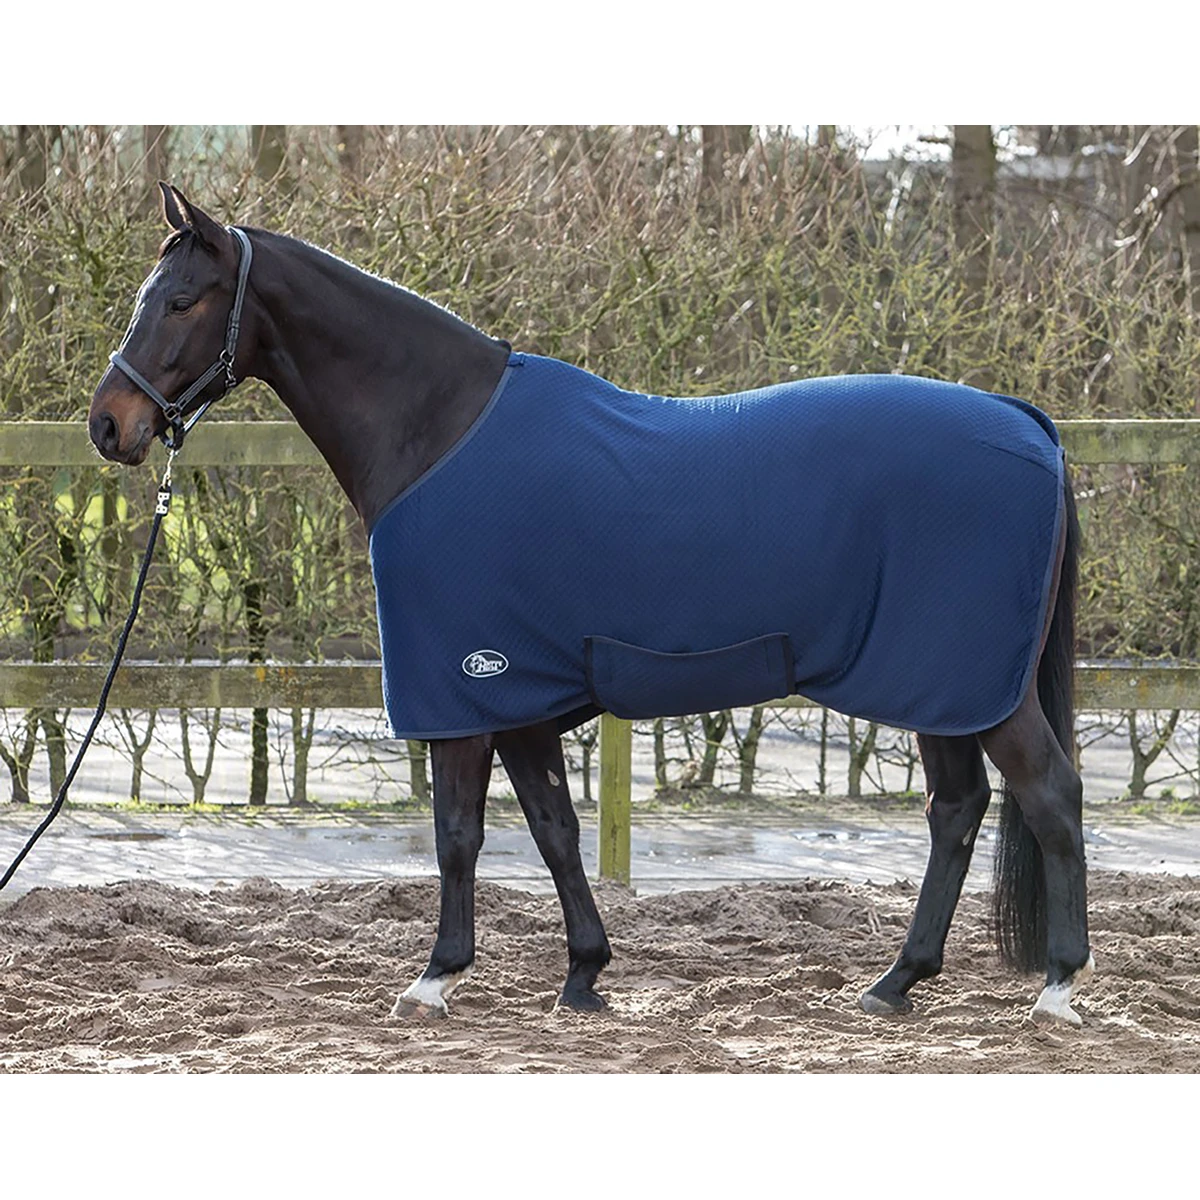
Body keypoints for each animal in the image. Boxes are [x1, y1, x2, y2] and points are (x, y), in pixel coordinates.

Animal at [88, 184, 1093, 1027]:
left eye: (182, 301)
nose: (108, 425)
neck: (438, 430)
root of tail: (1026, 420)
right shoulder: (520, 697)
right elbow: (555, 832)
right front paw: (583, 975)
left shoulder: (466, 691)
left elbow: (458, 835)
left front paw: (437, 977)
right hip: (942, 688)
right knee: (958, 810)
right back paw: (896, 982)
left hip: (971, 685)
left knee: (1049, 793)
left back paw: (1057, 988)